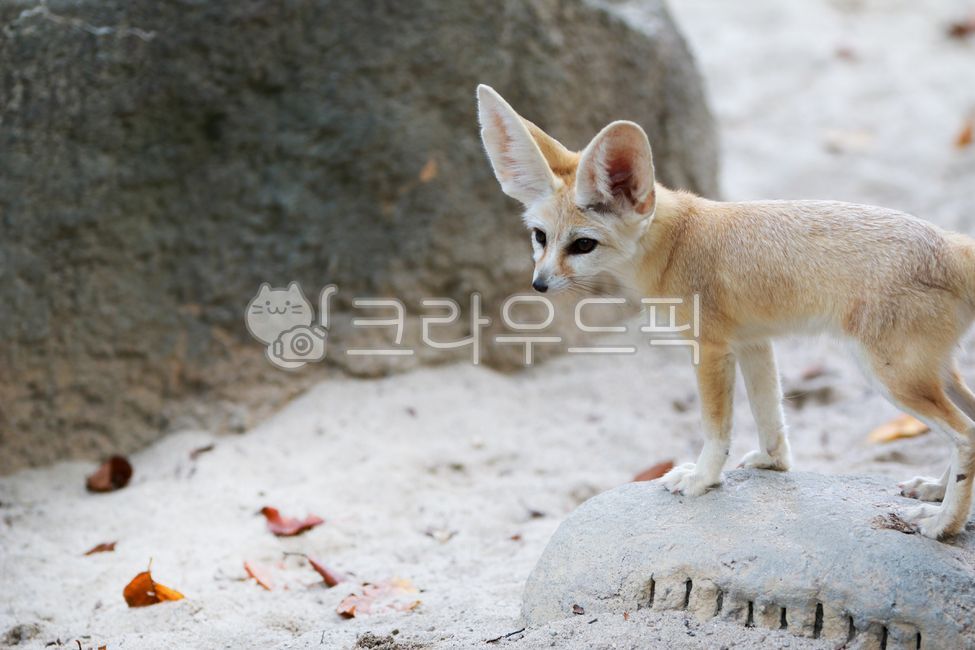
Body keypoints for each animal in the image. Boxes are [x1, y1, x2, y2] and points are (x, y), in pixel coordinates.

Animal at [476, 83, 975, 540]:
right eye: (540, 237)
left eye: (582, 245)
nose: (539, 285)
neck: (676, 242)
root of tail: (951, 243)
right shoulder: (754, 342)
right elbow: (769, 416)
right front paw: (773, 464)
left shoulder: (711, 349)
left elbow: (717, 429)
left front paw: (702, 479)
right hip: (934, 374)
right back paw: (936, 493)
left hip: (892, 378)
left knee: (966, 435)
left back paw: (942, 525)